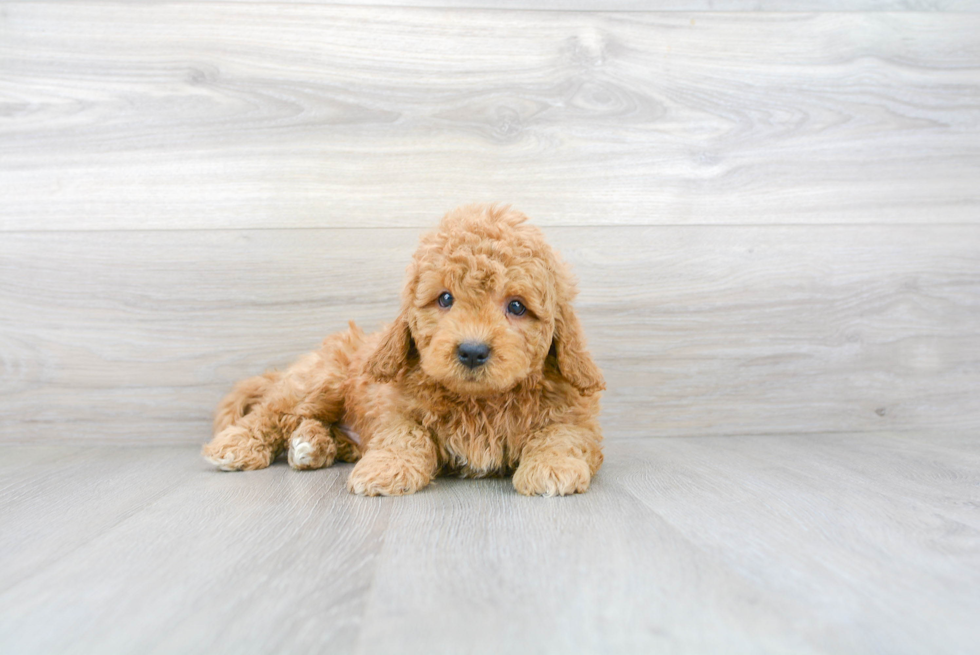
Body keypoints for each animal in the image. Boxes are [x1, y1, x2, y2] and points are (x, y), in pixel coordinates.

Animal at [203, 205, 604, 498]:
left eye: (517, 306)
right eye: (445, 299)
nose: (472, 351)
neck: (481, 401)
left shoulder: (575, 417)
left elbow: (562, 435)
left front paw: (553, 467)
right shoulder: (395, 408)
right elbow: (405, 434)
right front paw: (387, 468)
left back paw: (312, 446)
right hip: (322, 379)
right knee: (273, 412)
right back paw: (238, 445)